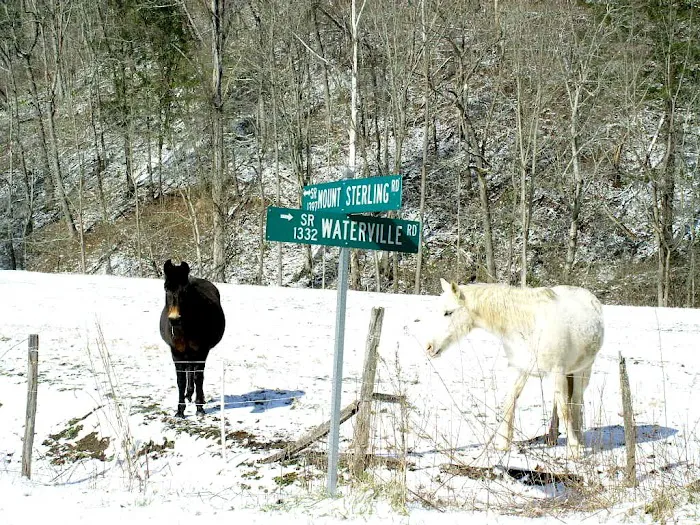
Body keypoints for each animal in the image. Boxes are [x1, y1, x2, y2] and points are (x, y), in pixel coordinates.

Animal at [159, 259, 226, 417]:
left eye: (185, 291)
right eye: (166, 288)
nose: (174, 319)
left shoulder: (201, 352)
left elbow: (198, 377)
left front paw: (200, 408)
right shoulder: (176, 353)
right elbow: (181, 380)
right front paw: (180, 410)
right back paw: (188, 395)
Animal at [425, 278, 604, 458]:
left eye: (448, 312)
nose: (429, 347)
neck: (528, 326)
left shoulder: (557, 371)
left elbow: (565, 410)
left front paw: (574, 449)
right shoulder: (519, 369)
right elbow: (509, 403)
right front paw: (503, 444)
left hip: (582, 370)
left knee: (576, 401)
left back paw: (578, 439)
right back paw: (552, 437)